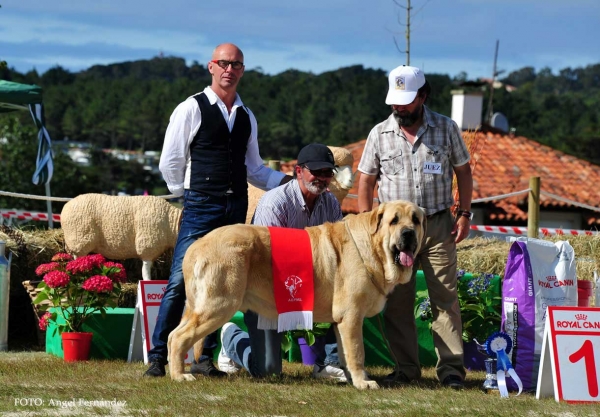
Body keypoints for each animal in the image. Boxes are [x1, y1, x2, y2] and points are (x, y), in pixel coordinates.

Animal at [166, 200, 424, 388]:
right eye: (393, 221)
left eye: (416, 220)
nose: (409, 233)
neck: (373, 247)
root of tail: (196, 245)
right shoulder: (351, 316)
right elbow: (357, 352)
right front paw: (364, 382)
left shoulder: (341, 321)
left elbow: (345, 352)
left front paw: (352, 378)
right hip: (218, 305)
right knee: (179, 337)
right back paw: (179, 375)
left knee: (172, 335)